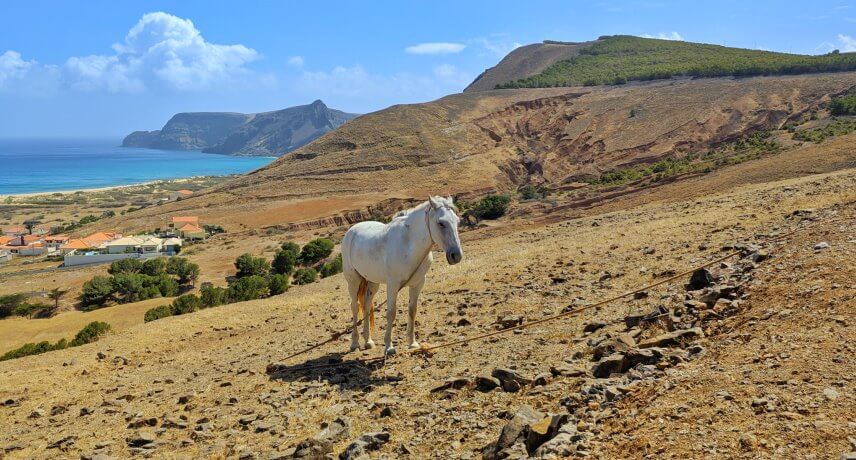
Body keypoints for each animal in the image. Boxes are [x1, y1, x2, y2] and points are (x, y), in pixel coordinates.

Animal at [340, 196, 462, 354]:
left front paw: (412, 343)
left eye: (457, 221)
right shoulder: (393, 284)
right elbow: (391, 313)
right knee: (355, 307)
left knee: (366, 305)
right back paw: (354, 343)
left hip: (372, 282)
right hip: (353, 281)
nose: (456, 255)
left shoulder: (418, 283)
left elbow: (412, 310)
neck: (408, 244)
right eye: (441, 223)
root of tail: (351, 231)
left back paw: (368, 341)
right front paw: (389, 346)